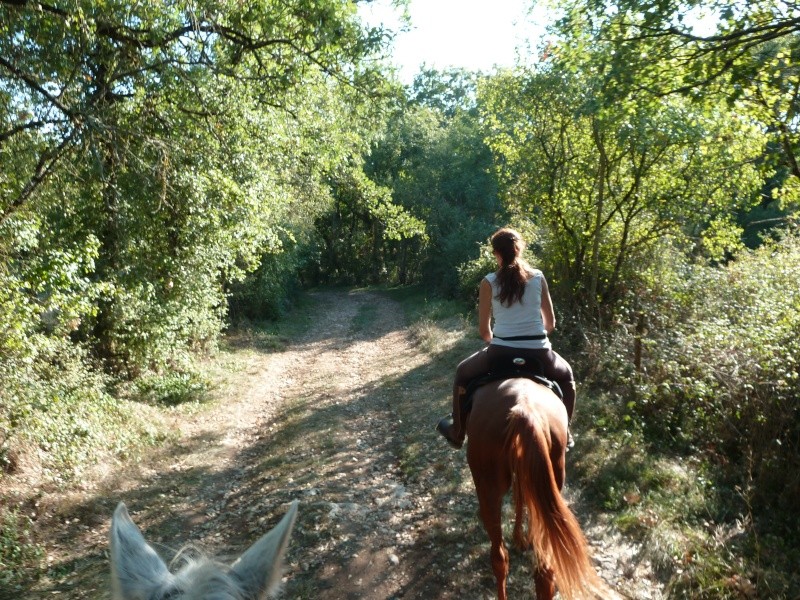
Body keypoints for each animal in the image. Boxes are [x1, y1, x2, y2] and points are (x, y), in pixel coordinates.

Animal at [466, 378, 604, 596]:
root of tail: (525, 410)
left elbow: (519, 497)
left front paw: (519, 538)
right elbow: (522, 497)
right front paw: (522, 538)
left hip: (488, 490)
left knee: (499, 558)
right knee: (544, 569)